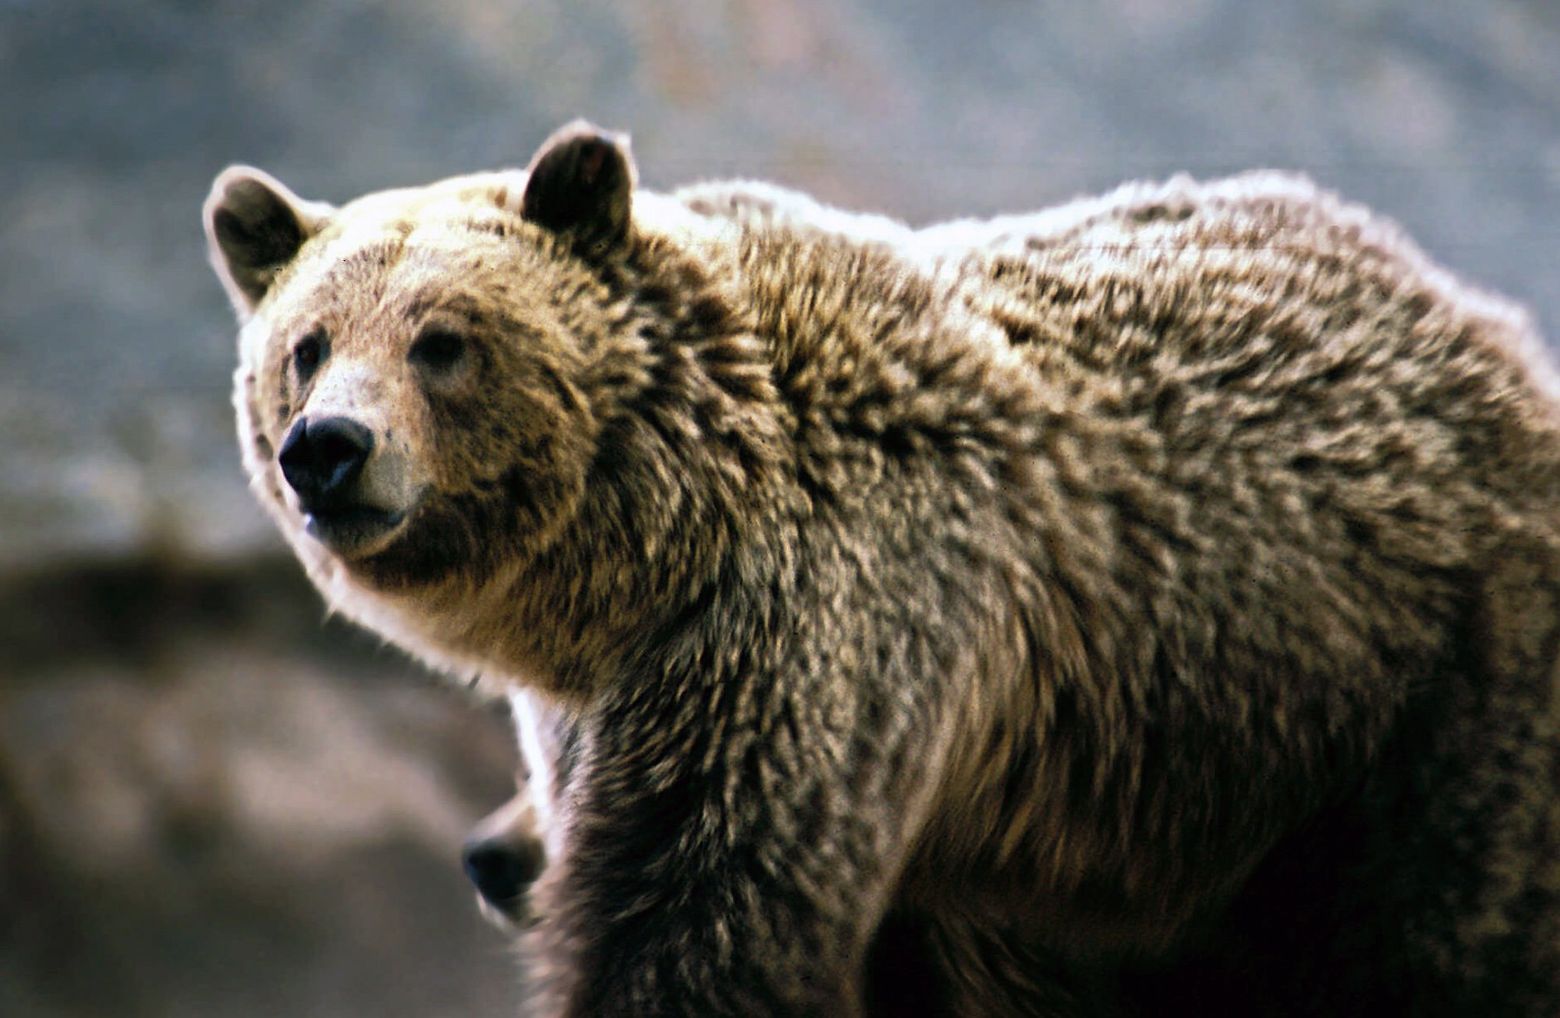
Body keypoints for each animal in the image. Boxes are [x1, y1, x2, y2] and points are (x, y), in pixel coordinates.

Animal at [207, 120, 1560, 1016]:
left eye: (443, 340)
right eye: (307, 343)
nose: (328, 447)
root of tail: (1484, 323)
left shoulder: (817, 625)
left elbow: (704, 916)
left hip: (1414, 703)